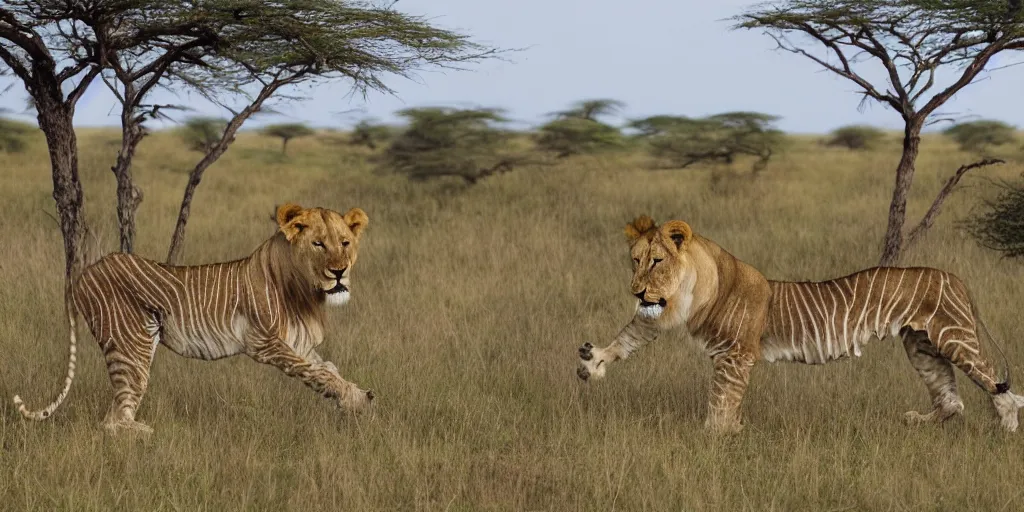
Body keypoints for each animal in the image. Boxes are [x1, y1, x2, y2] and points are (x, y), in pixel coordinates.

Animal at [14, 201, 374, 434]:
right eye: (318, 244)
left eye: (345, 243)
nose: (339, 272)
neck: (305, 289)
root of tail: (85, 271)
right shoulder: (264, 342)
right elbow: (317, 373)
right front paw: (352, 399)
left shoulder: (298, 342)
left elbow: (327, 368)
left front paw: (357, 397)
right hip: (132, 346)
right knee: (113, 420)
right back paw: (146, 439)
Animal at [577, 214, 1024, 434]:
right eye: (635, 260)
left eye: (656, 261)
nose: (636, 291)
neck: (695, 285)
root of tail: (954, 276)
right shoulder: (663, 314)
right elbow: (634, 333)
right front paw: (593, 360)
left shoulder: (736, 355)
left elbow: (721, 401)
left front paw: (715, 437)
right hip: (921, 344)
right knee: (952, 401)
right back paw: (917, 422)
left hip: (954, 337)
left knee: (992, 383)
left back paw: (1007, 426)